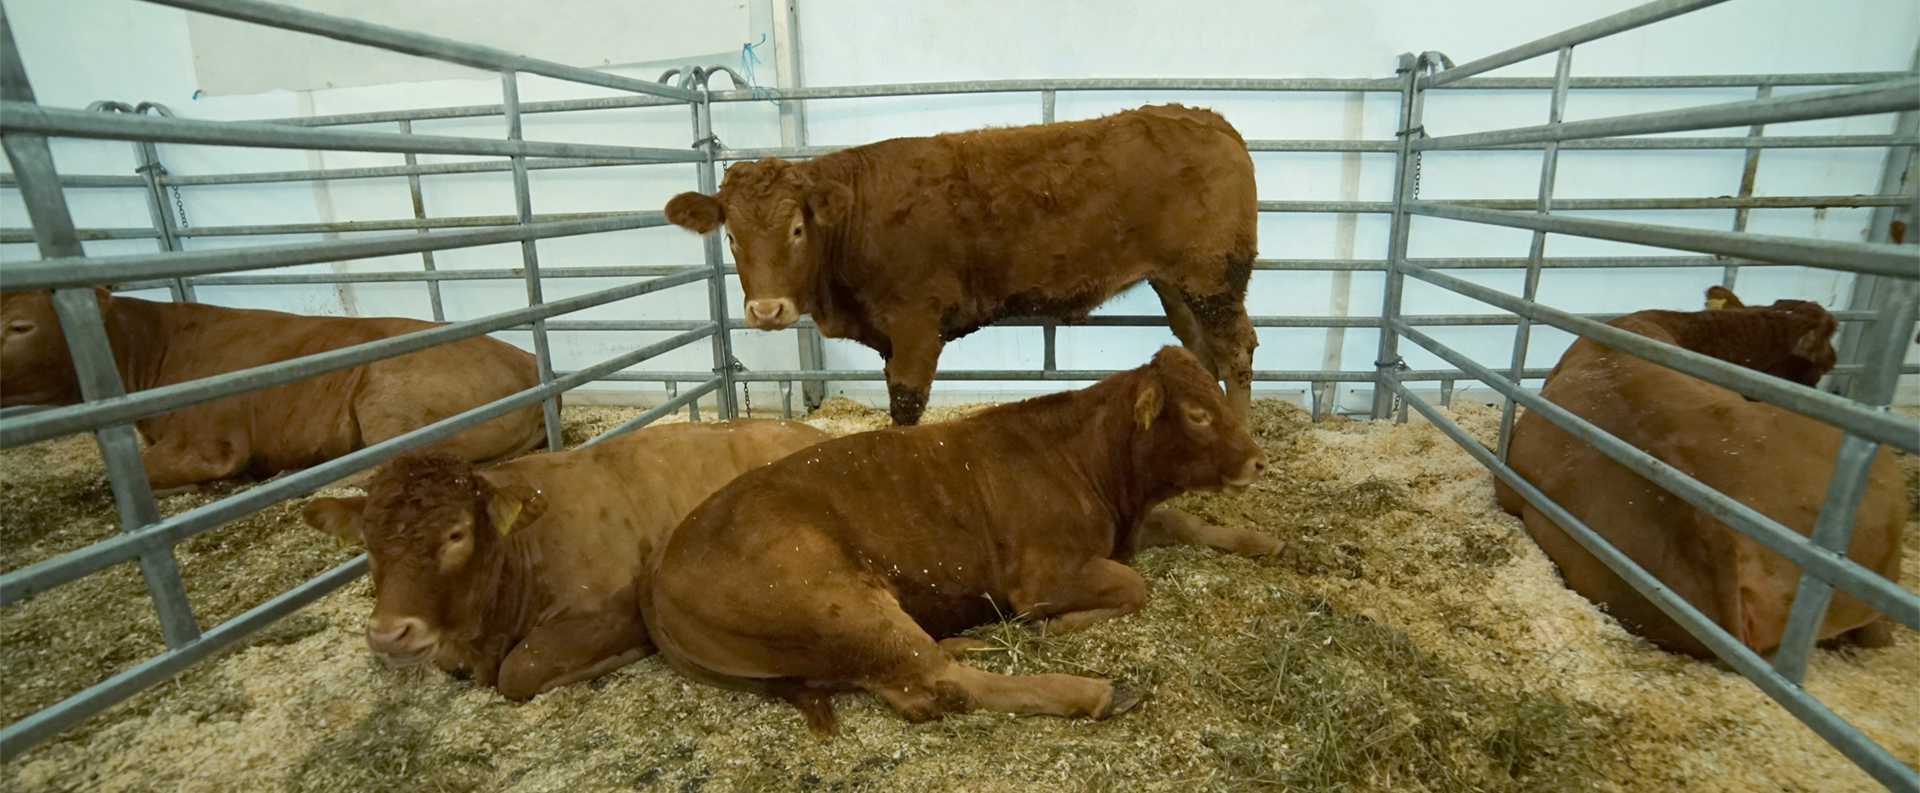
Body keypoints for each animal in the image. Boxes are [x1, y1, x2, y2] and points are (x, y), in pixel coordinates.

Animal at [644, 347, 1279, 731]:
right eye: (1197, 413)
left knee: (913, 685)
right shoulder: (1043, 575)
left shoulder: (1126, 527)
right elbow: (1133, 586)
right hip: (836, 602)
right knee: (946, 683)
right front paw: (1053, 626)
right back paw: (1092, 691)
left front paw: (1264, 542)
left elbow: (1188, 524)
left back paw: (965, 645)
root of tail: (662, 569)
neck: (1088, 464)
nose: (1259, 461)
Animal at [663, 104, 1260, 427]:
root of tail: (1209, 119)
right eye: (731, 237)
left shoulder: (916, 324)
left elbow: (906, 404)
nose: (767, 311)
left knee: (1236, 352)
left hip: (1213, 279)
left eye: (796, 229)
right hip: (1178, 285)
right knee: (1201, 350)